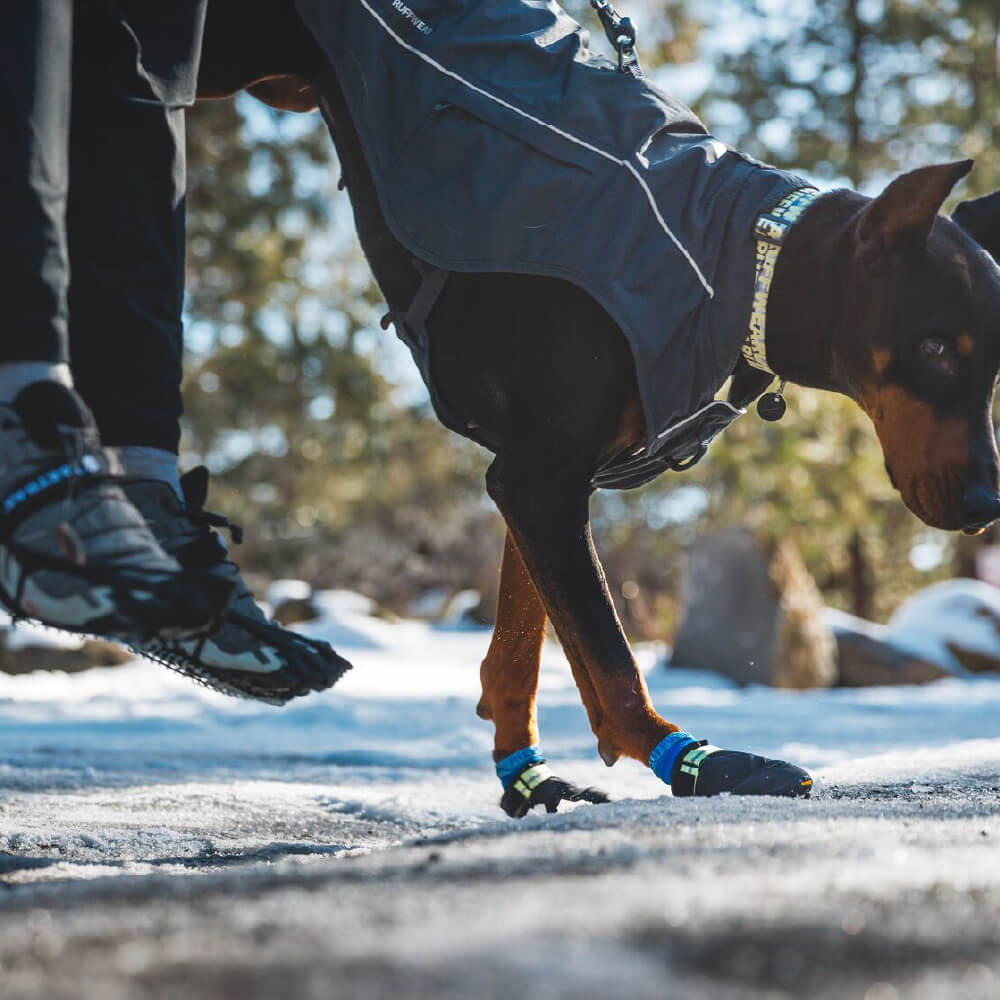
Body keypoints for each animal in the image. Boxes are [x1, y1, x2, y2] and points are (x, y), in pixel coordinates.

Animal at [197, 0, 1000, 812]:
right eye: (935, 347)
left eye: (992, 363)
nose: (985, 502)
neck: (744, 261)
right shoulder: (539, 477)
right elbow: (610, 657)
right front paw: (688, 760)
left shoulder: (539, 475)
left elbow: (522, 641)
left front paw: (523, 770)